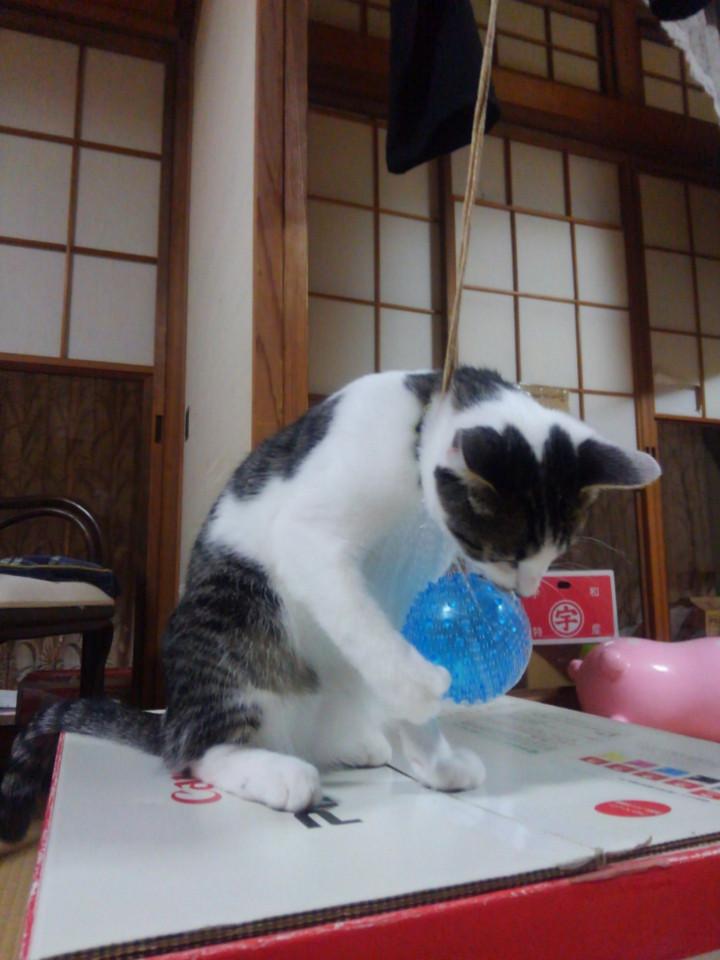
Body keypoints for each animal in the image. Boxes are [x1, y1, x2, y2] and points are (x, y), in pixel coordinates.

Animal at [0, 367, 660, 840]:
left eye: (555, 551)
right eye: (502, 550)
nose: (523, 591)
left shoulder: (405, 586)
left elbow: (384, 632)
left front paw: (433, 757)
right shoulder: (310, 537)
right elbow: (362, 621)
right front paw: (419, 687)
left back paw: (356, 744)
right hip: (233, 608)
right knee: (193, 749)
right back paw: (274, 771)